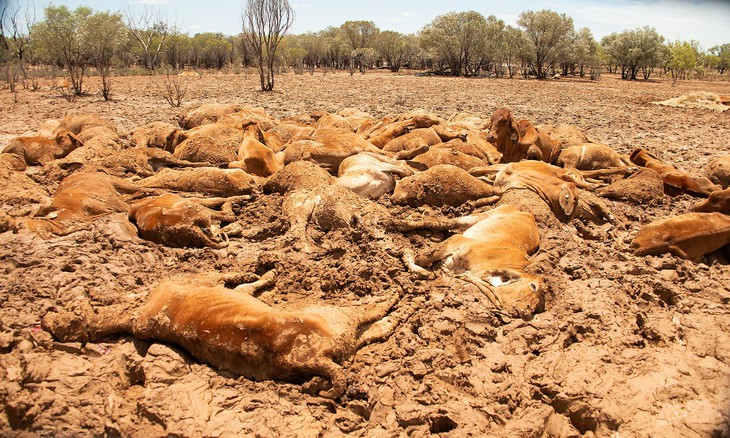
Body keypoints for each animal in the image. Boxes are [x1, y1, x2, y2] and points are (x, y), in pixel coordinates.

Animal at [42, 268, 396, 398]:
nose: (46, 320)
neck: (131, 315)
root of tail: (313, 358)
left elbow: (245, 281)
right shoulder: (210, 280)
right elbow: (241, 277)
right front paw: (268, 271)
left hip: (339, 337)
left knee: (367, 332)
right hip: (333, 316)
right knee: (371, 316)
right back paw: (393, 300)